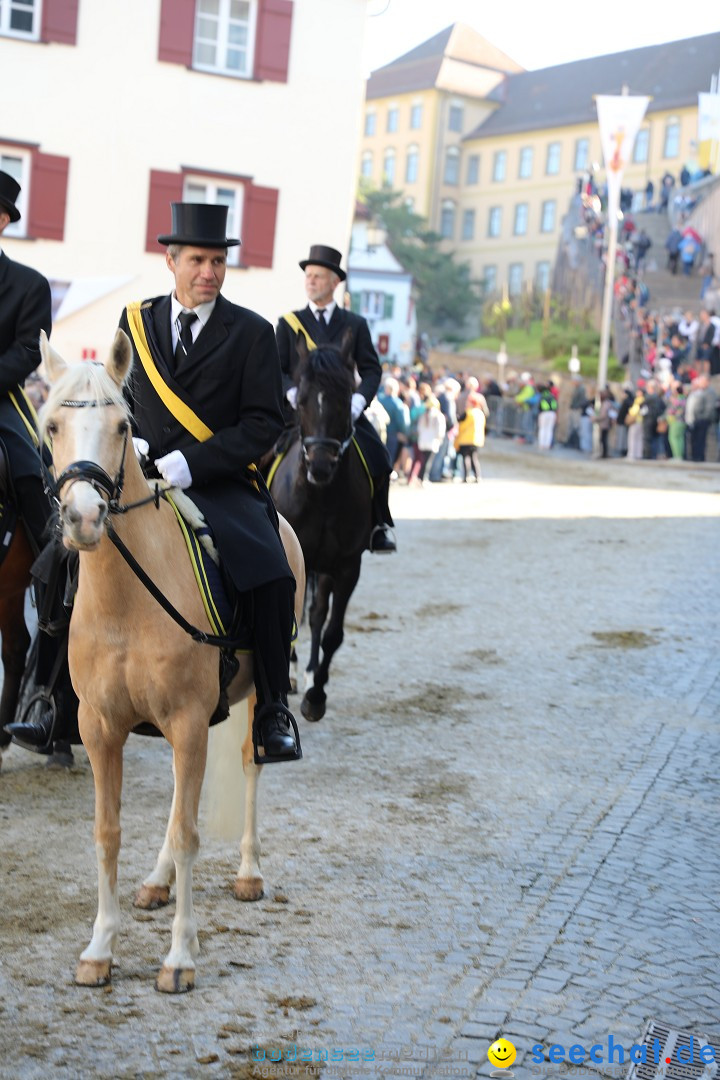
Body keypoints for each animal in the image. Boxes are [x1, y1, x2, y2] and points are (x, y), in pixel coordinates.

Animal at [39, 330, 304, 993]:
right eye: (52, 425)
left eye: (121, 425)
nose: (84, 518)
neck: (125, 601)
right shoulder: (101, 727)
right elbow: (108, 832)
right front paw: (100, 948)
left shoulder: (186, 720)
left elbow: (188, 834)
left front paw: (181, 956)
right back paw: (157, 883)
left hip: (251, 699)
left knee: (250, 765)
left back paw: (249, 872)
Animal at [268, 334, 371, 725]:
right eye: (302, 401)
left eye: (345, 399)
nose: (321, 466)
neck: (323, 498)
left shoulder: (346, 566)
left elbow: (331, 631)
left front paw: (316, 695)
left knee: (315, 614)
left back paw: (310, 674)